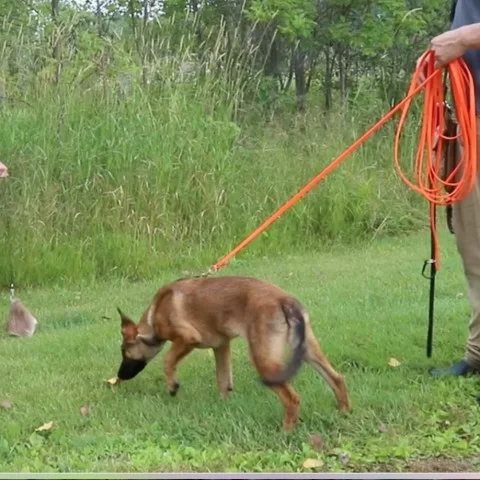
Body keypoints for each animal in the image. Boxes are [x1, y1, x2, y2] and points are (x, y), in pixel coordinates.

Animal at [115, 274, 348, 432]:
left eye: (124, 352)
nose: (118, 376)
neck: (155, 314)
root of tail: (283, 300)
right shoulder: (221, 347)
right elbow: (223, 379)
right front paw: (223, 405)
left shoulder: (187, 339)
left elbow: (168, 359)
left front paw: (172, 385)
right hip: (309, 350)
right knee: (336, 378)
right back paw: (344, 412)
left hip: (264, 361)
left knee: (292, 399)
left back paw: (286, 431)